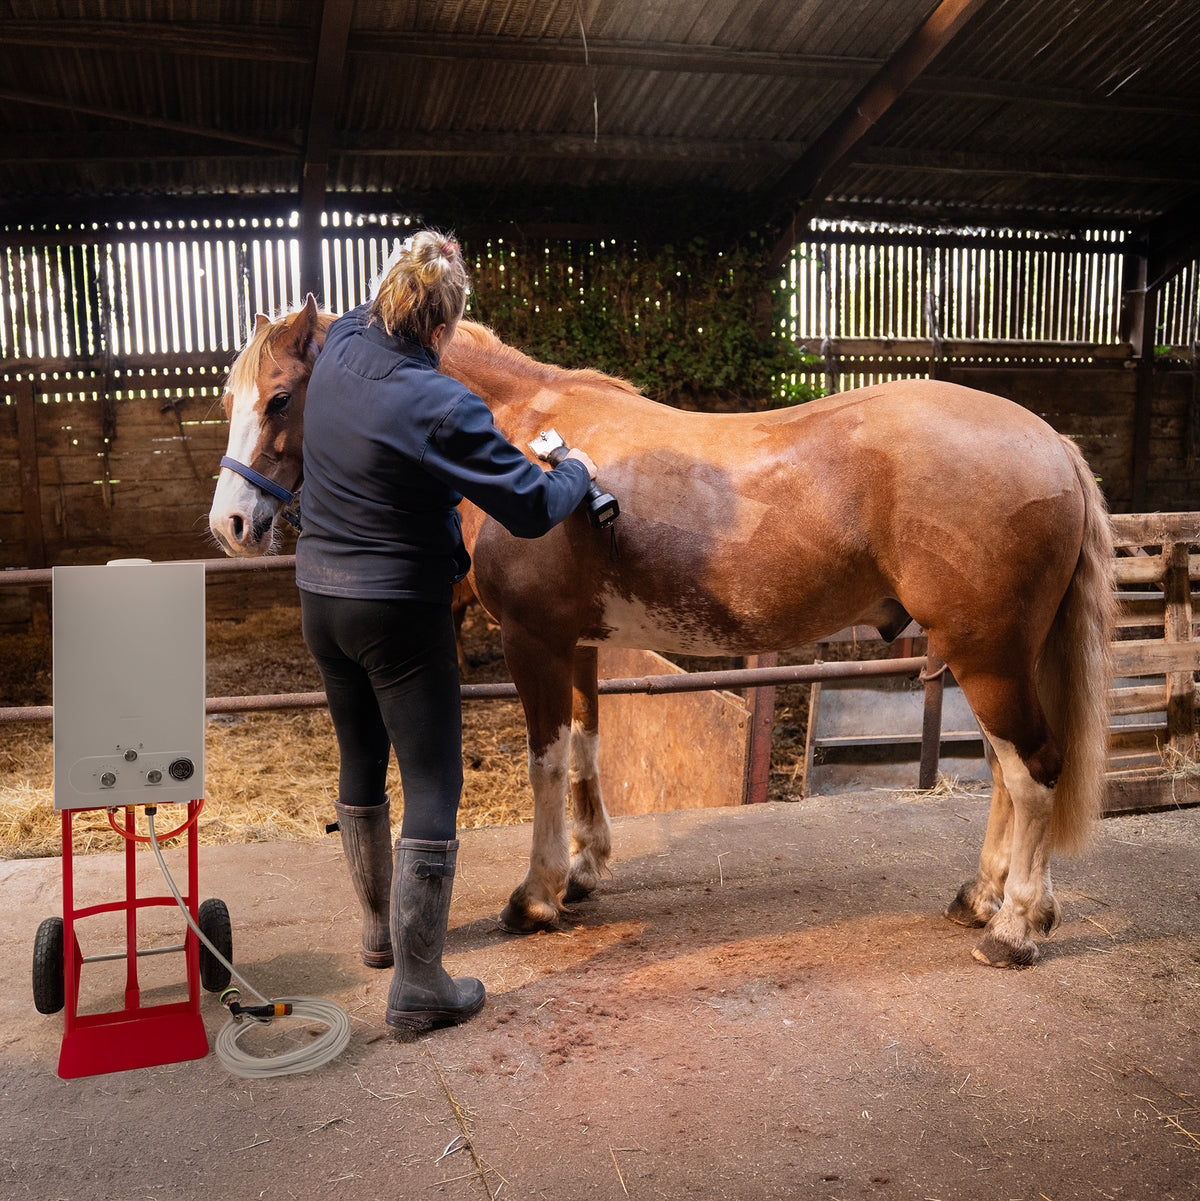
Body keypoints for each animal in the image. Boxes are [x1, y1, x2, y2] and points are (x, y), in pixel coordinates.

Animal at [209, 295, 1116, 969]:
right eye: (229, 400)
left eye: (280, 397)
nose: (231, 524)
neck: (516, 430)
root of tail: (1051, 443)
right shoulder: (576, 643)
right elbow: (584, 749)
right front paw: (581, 871)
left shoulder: (533, 641)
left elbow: (545, 761)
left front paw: (534, 895)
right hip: (989, 655)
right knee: (1004, 772)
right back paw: (980, 899)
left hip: (987, 655)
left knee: (1034, 770)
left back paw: (1015, 926)